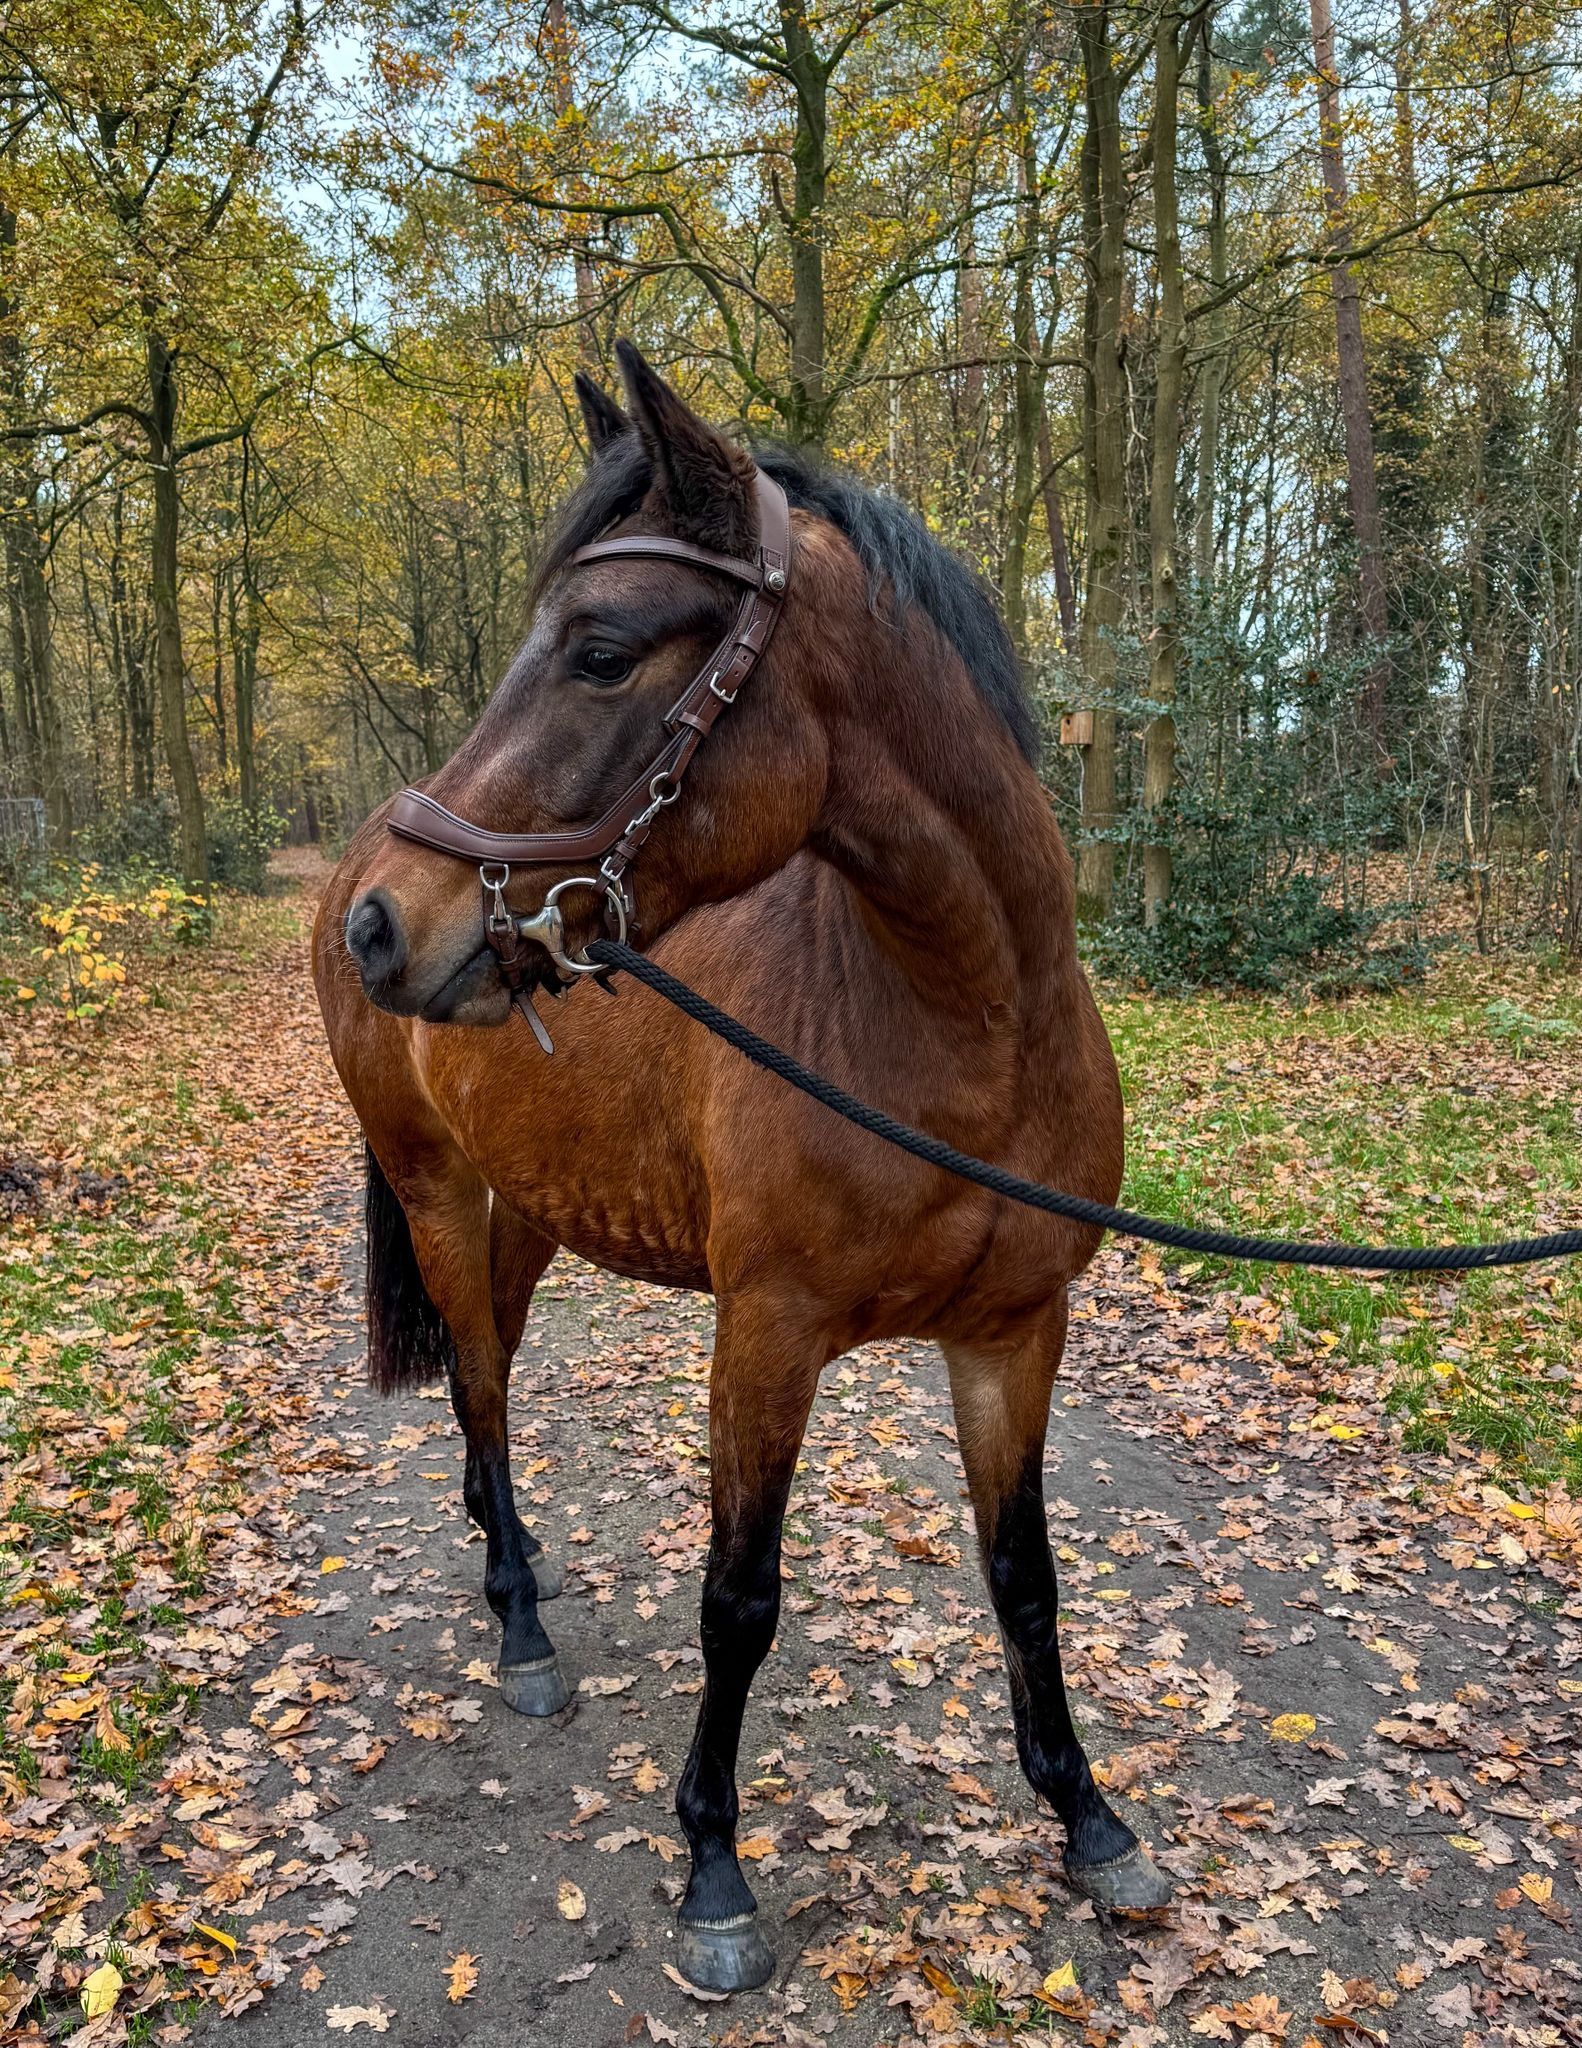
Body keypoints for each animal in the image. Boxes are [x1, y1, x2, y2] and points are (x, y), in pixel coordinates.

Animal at [313, 342, 1172, 1994]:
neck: (962, 1026)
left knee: (486, 1366)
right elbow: (739, 1597)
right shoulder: (765, 1334)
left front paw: (1088, 1819)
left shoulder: (1012, 1334)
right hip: (438, 1187)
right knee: (483, 1384)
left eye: (598, 651)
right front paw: (713, 1869)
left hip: (528, 1208)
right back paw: (520, 1631)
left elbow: (1024, 1580)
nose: (391, 923)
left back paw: (506, 1557)